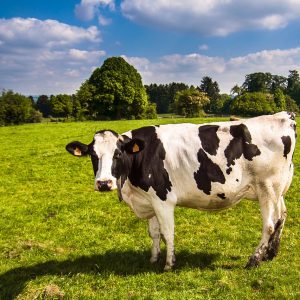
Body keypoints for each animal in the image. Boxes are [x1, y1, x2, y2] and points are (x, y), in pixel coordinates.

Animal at [65, 112, 296, 272]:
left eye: (118, 153)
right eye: (93, 155)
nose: (104, 183)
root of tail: (284, 116)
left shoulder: (163, 199)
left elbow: (167, 232)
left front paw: (169, 263)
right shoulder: (149, 199)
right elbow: (154, 232)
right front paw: (153, 258)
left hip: (267, 187)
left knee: (269, 225)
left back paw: (254, 259)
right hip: (278, 189)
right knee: (281, 216)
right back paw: (271, 253)